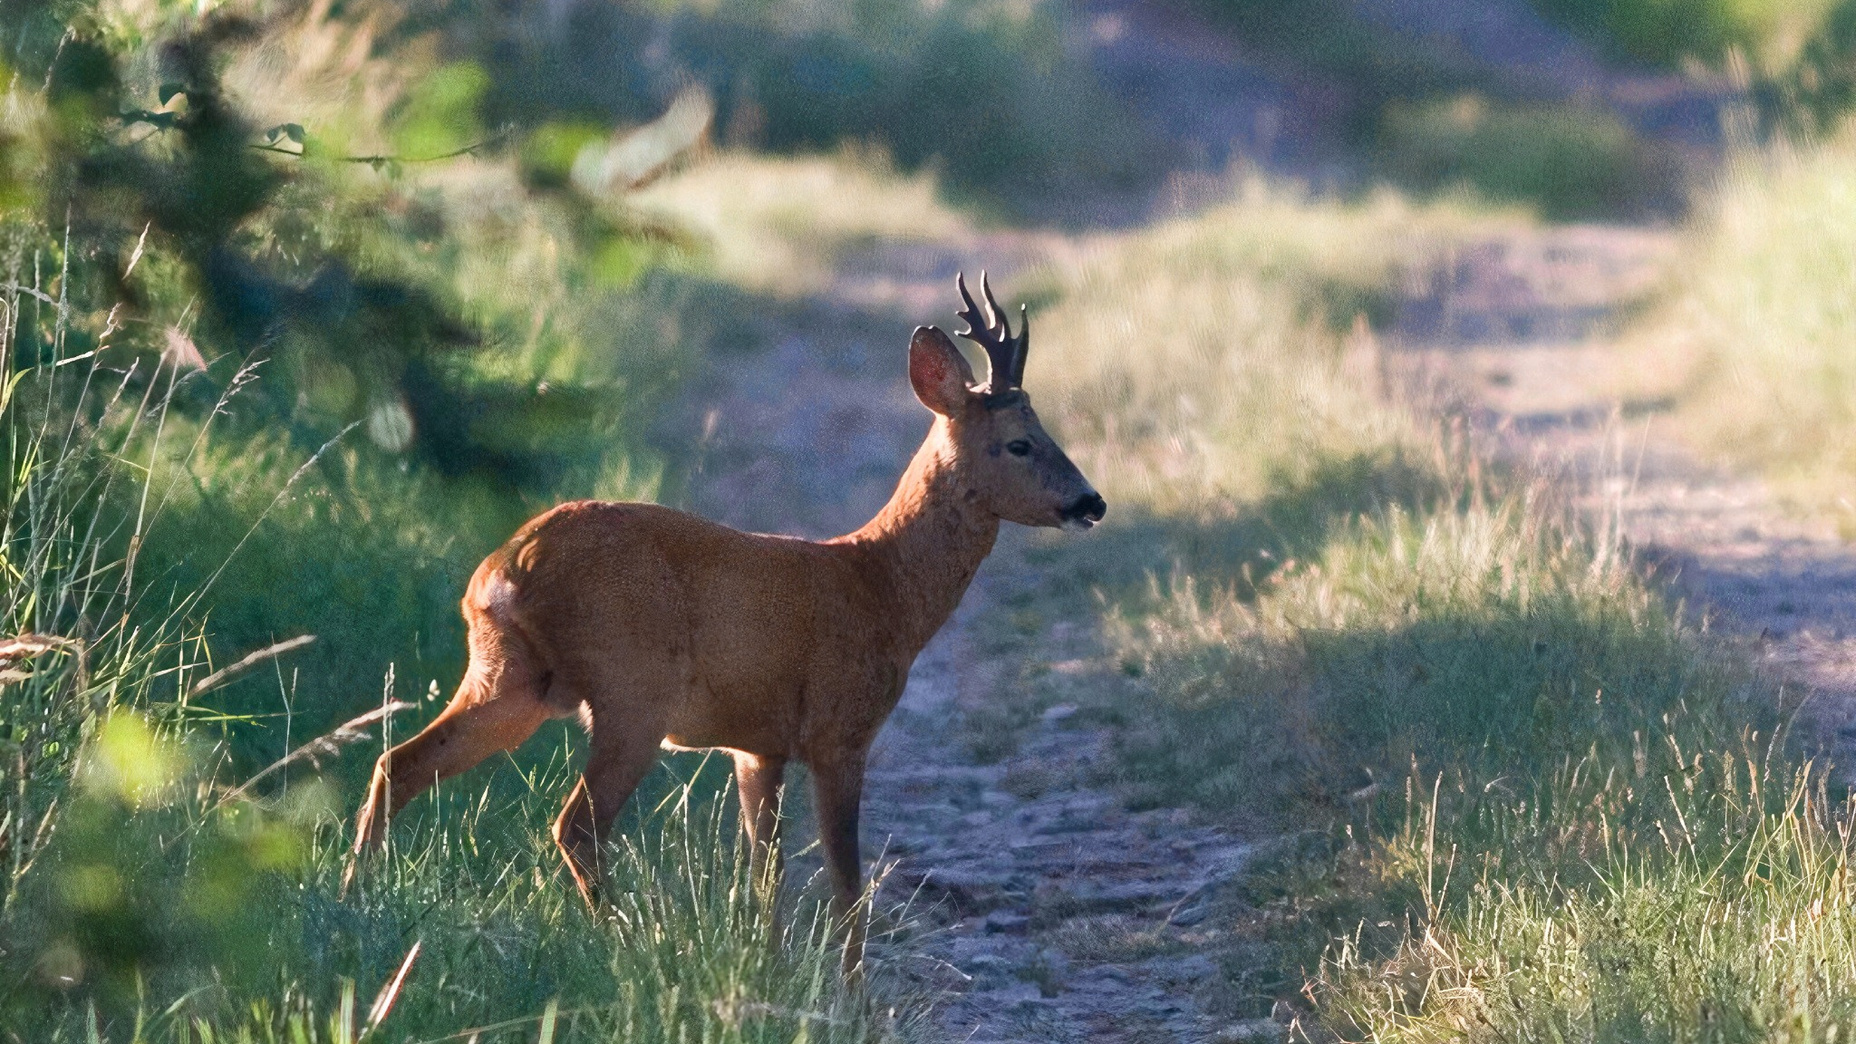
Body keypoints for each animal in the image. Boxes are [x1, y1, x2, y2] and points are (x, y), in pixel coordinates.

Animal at [345, 273, 1105, 975]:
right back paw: (625, 944)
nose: (1091, 502)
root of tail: (506, 567)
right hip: (631, 688)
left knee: (397, 763)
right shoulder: (838, 729)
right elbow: (845, 882)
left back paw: (356, 897)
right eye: (1020, 443)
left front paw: (768, 969)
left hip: (507, 677)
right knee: (575, 825)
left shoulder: (756, 748)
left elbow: (765, 875)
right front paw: (853, 998)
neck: (882, 587)